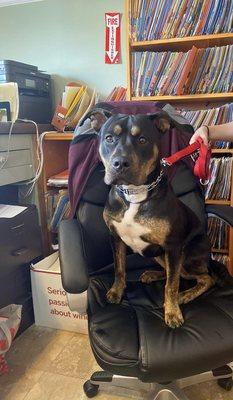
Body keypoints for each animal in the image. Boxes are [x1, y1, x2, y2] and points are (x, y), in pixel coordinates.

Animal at [97, 111, 216, 328]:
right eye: (109, 138)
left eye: (142, 140)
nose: (120, 163)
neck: (134, 194)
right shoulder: (115, 238)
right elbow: (119, 268)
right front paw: (116, 292)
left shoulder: (174, 246)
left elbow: (171, 285)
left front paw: (172, 312)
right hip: (160, 254)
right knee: (171, 270)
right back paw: (152, 274)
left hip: (188, 254)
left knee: (204, 278)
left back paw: (184, 295)